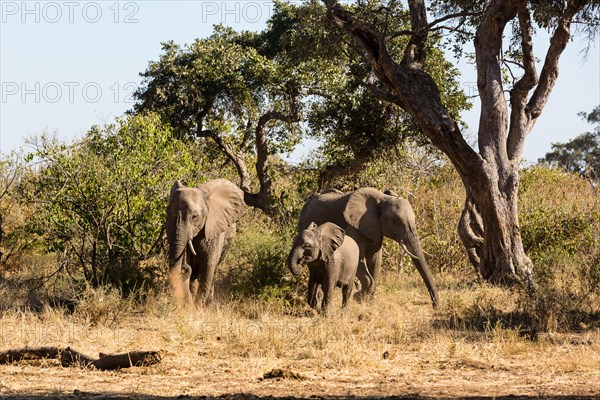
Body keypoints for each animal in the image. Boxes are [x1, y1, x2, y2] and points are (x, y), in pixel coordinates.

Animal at [165, 179, 245, 310]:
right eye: (167, 214)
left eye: (194, 216)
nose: (184, 267)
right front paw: (192, 306)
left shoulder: (215, 228)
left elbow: (209, 264)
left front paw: (199, 308)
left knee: (213, 269)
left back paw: (209, 303)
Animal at [298, 189, 438, 308]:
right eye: (396, 222)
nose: (435, 306)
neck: (382, 199)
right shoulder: (353, 226)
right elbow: (359, 259)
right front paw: (359, 297)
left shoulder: (376, 228)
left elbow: (375, 260)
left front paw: (368, 301)